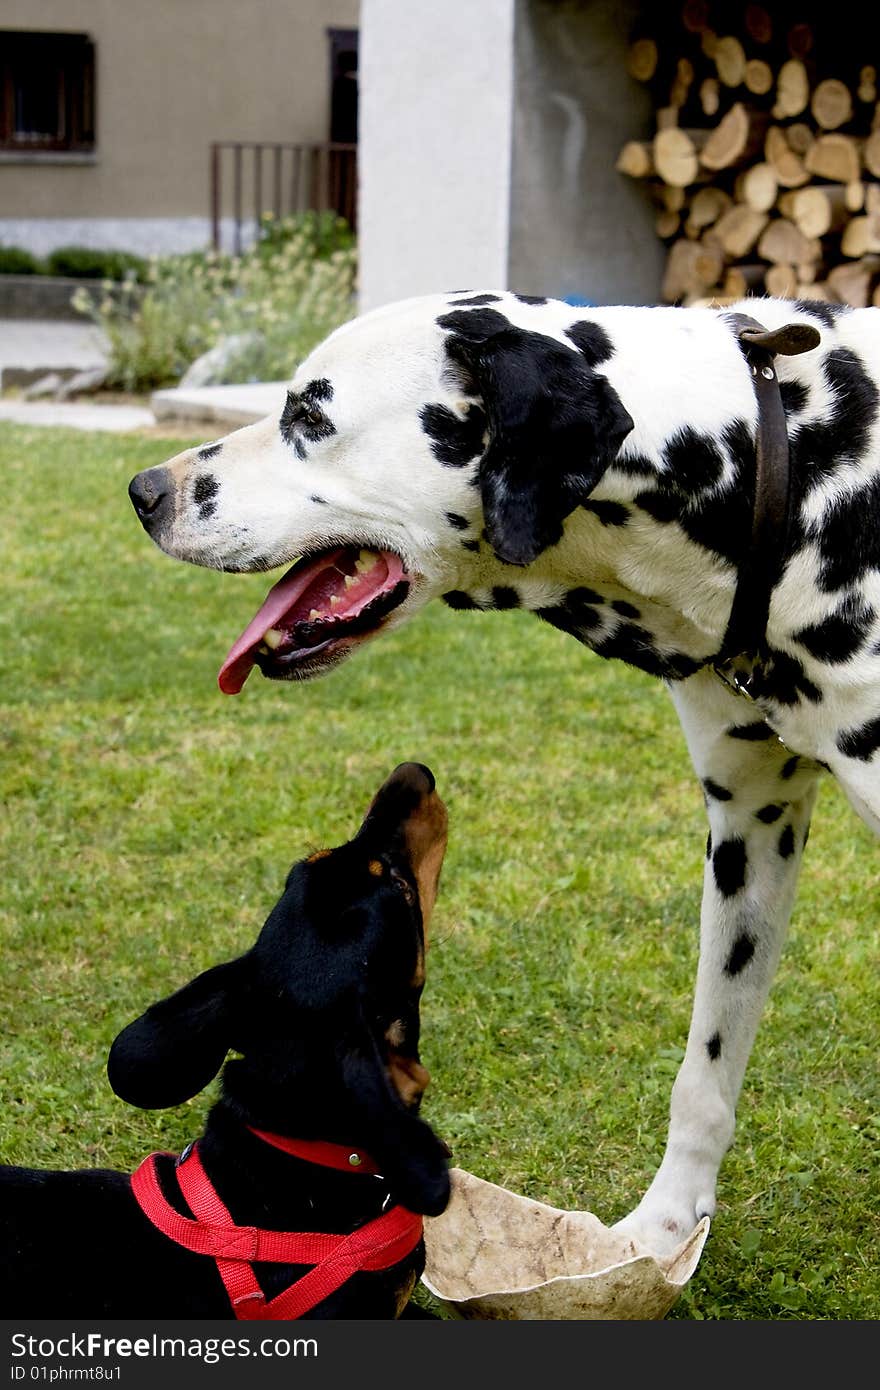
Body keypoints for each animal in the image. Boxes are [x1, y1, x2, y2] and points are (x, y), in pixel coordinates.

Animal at [128, 293, 878, 1262]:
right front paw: (661, 1233)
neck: (778, 479)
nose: (145, 492)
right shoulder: (750, 829)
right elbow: (704, 1071)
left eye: (311, 417)